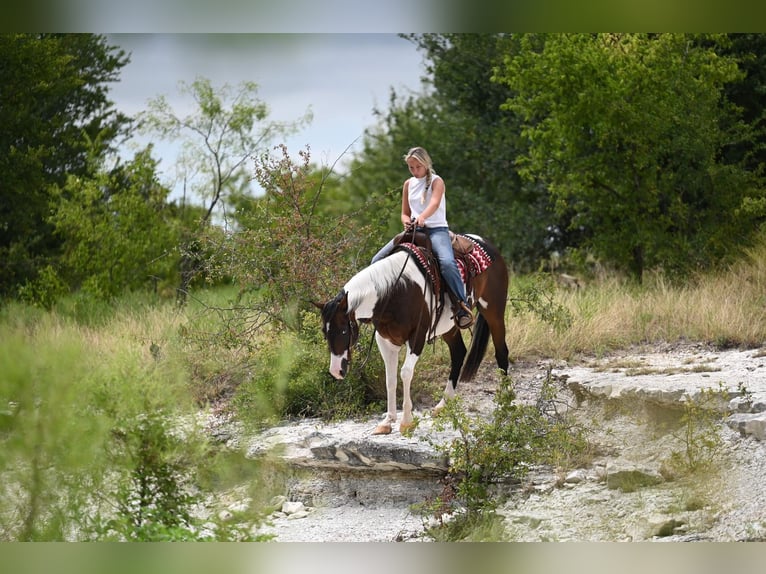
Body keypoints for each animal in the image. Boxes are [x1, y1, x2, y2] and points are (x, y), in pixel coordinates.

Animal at [315, 232, 509, 435]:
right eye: (324, 332)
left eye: (344, 330)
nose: (336, 371)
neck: (396, 290)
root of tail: (488, 244)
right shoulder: (385, 340)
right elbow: (390, 378)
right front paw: (387, 421)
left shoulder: (417, 338)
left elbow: (405, 373)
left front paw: (407, 421)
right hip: (449, 327)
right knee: (458, 353)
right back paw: (442, 405)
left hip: (494, 311)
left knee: (501, 352)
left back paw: (505, 402)